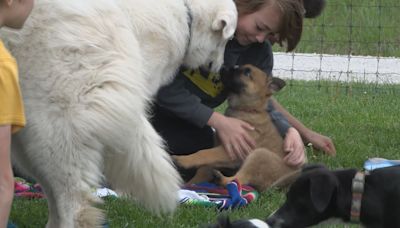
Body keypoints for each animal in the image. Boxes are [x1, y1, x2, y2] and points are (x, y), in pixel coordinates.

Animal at [173, 64, 304, 192]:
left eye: (247, 72)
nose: (223, 68)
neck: (246, 110)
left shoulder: (230, 151)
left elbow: (205, 153)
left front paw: (183, 160)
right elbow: (204, 167)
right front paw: (191, 184)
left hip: (259, 155)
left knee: (238, 180)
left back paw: (220, 179)